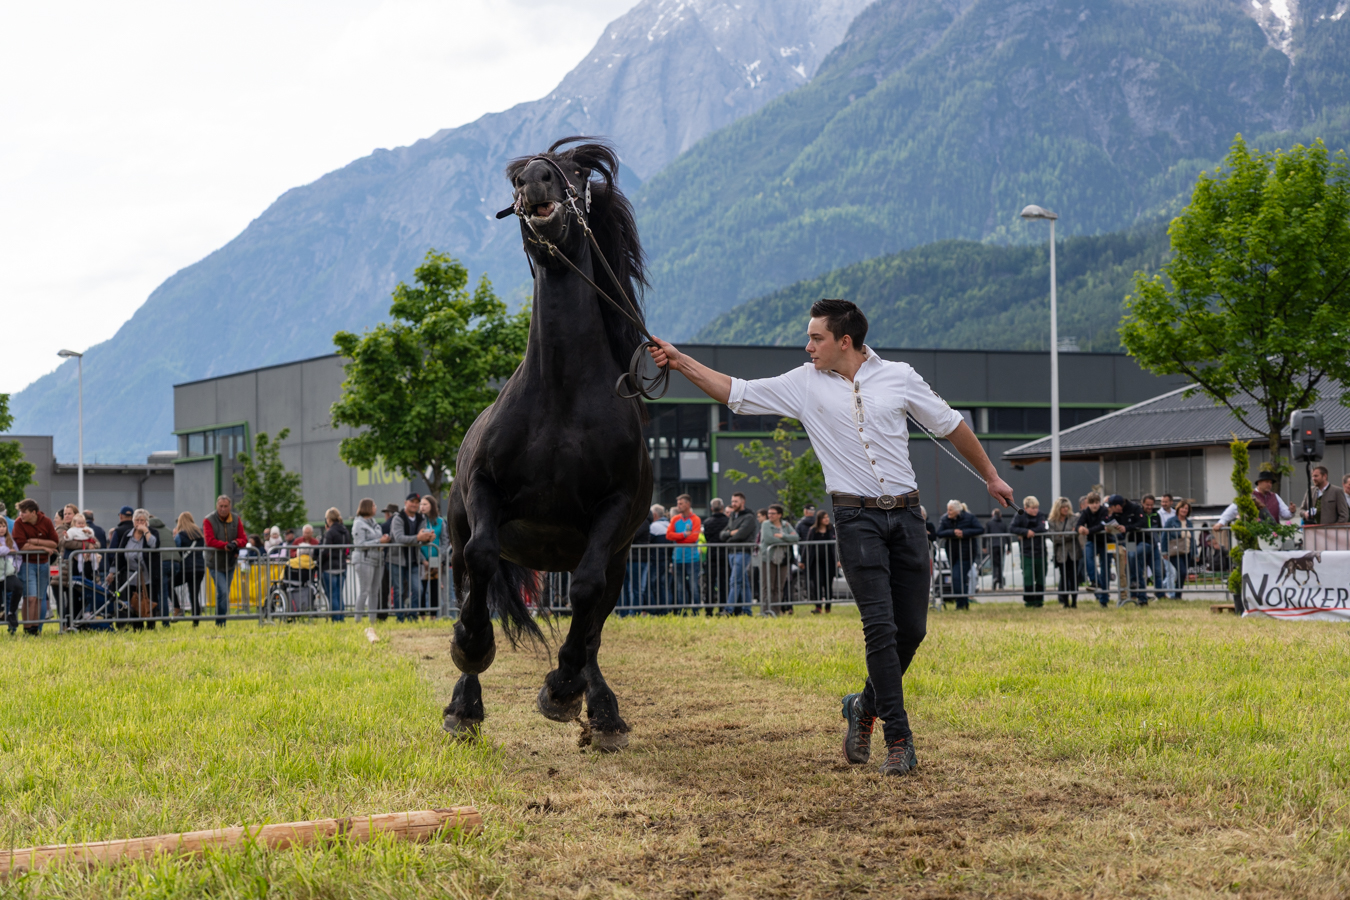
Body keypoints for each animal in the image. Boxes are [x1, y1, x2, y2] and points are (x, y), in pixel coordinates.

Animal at [442, 137, 653, 751]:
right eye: (515, 175)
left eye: (578, 173)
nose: (534, 179)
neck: (561, 397)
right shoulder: (484, 492)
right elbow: (482, 558)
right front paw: (472, 648)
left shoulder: (612, 513)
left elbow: (583, 594)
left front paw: (561, 690)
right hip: (459, 535)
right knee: (471, 580)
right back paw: (464, 706)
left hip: (621, 561)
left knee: (594, 625)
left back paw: (599, 710)